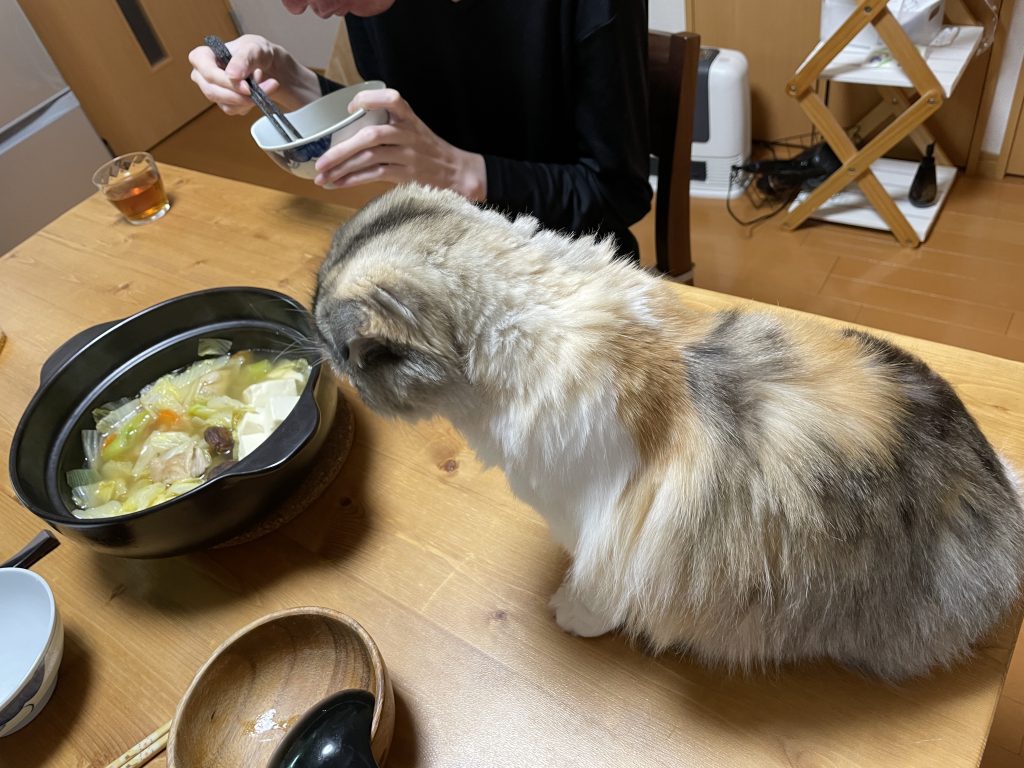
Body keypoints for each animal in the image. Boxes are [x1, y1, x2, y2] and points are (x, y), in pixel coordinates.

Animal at [312, 183, 1024, 681]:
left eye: (350, 355)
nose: (323, 357)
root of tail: (1000, 492)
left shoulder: (608, 523)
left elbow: (596, 586)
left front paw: (571, 614)